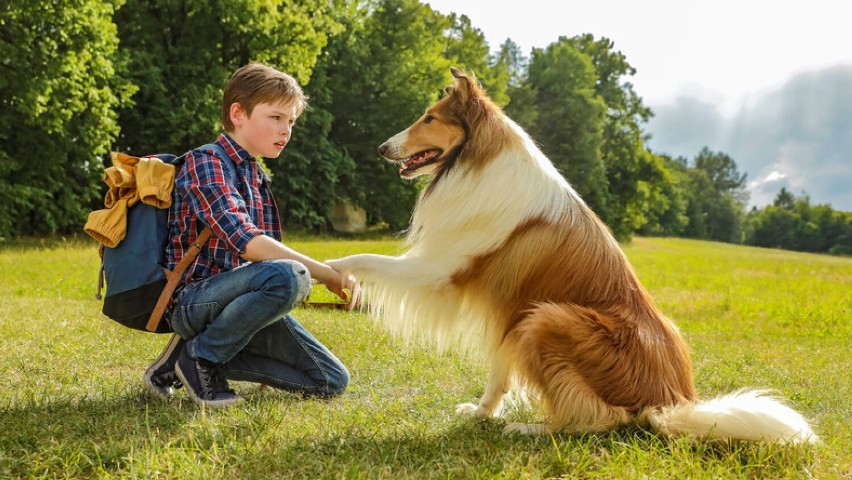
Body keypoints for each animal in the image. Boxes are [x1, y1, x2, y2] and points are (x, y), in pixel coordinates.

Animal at [326, 67, 820, 446]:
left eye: (429, 117)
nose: (380, 148)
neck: (477, 163)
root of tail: (670, 400)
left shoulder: (439, 272)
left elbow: (365, 258)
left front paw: (331, 270)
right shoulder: (510, 313)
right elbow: (498, 374)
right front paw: (481, 413)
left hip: (547, 319)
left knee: (600, 420)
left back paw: (529, 428)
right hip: (538, 320)